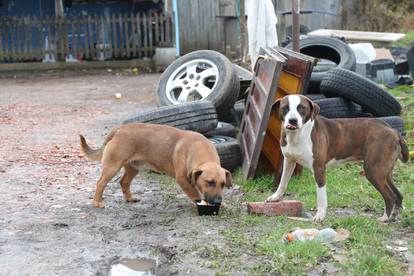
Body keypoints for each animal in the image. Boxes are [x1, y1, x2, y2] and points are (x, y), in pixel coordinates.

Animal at [79, 123, 231, 207]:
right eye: (210, 182)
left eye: (223, 184)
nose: (217, 202)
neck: (198, 148)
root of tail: (118, 129)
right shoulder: (182, 179)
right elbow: (195, 193)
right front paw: (200, 203)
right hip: (112, 167)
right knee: (100, 183)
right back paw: (97, 202)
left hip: (133, 168)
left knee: (124, 182)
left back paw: (129, 198)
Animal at [266, 95, 410, 222]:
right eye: (285, 108)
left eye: (302, 108)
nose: (293, 120)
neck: (297, 135)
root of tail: (394, 131)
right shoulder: (289, 161)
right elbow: (283, 182)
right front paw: (276, 197)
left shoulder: (319, 169)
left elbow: (321, 196)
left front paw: (320, 215)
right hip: (384, 172)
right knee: (398, 195)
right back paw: (393, 215)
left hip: (373, 172)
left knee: (390, 196)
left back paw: (385, 218)